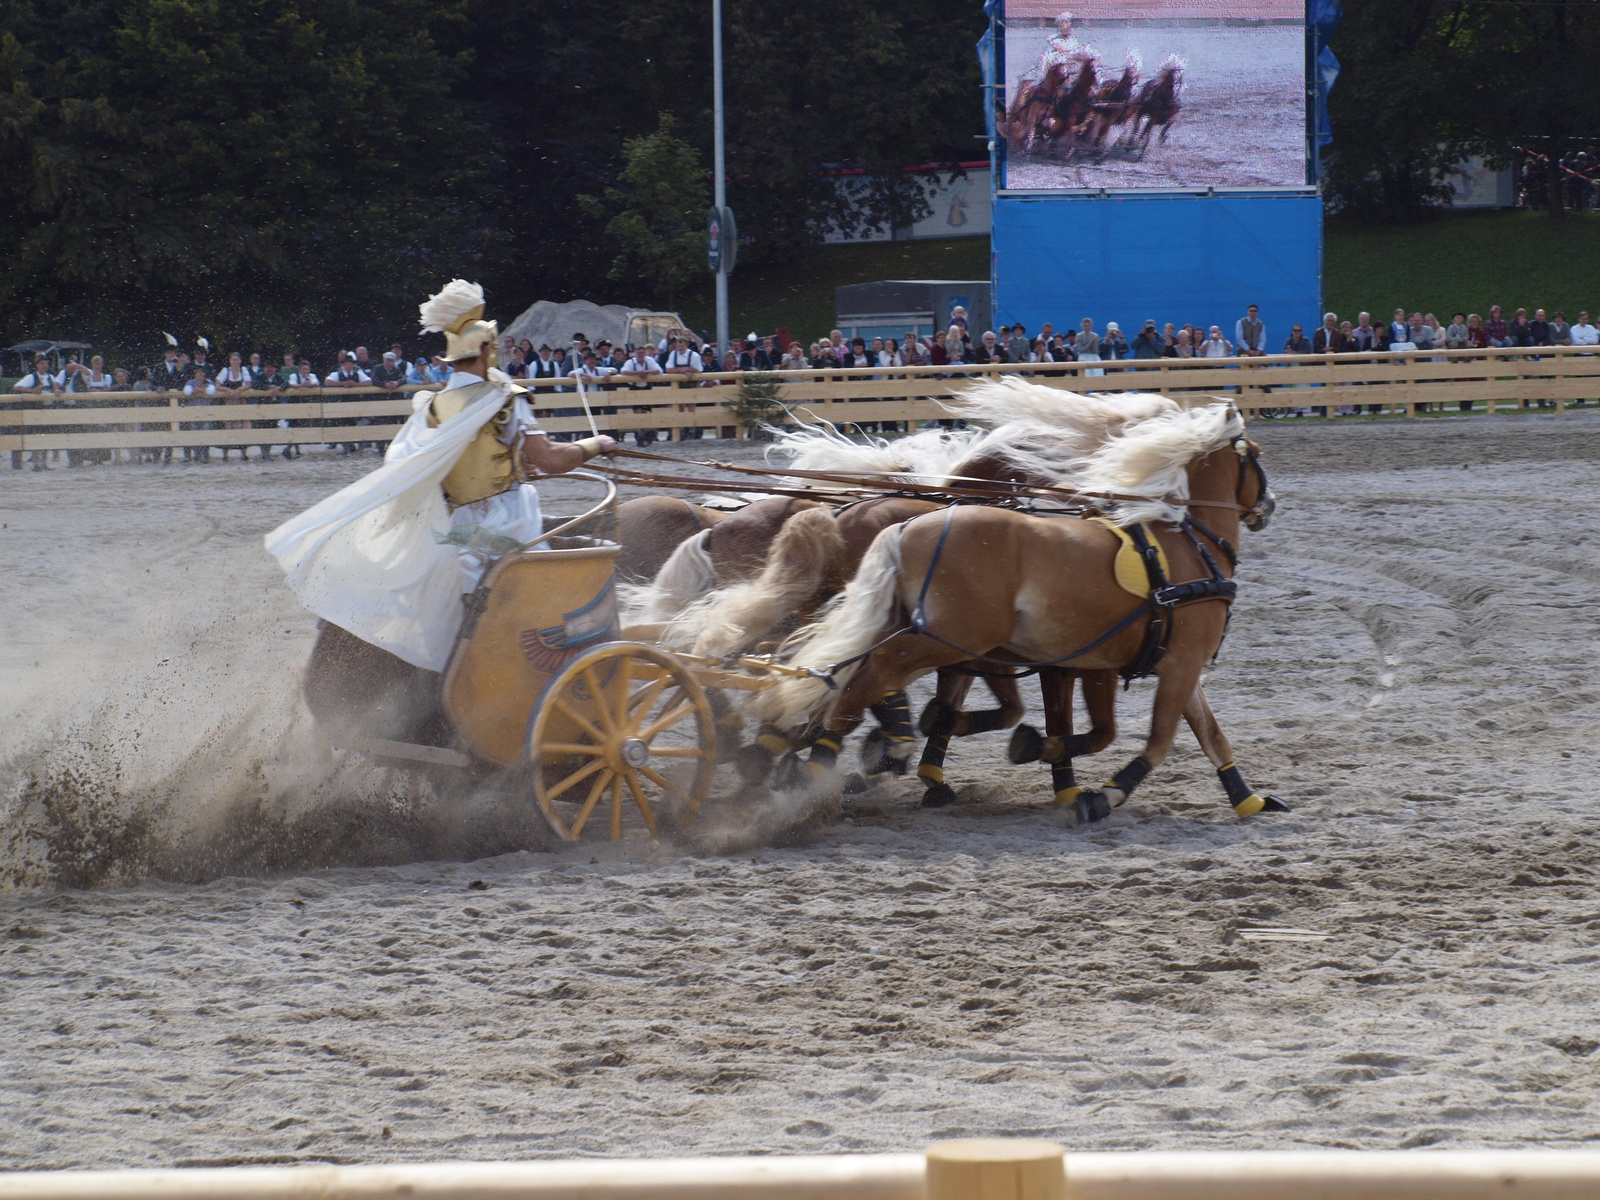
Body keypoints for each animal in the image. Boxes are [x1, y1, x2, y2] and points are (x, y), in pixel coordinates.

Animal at [748, 404, 1286, 825]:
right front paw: (1102, 795)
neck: (1184, 548)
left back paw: (806, 753)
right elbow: (1156, 740)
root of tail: (904, 527)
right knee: (866, 675)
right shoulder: (1173, 664)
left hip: (920, 631)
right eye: (1257, 455)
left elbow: (1208, 736)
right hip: (943, 637)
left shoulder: (1143, 664)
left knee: (833, 670)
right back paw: (832, 758)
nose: (1269, 505)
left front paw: (1249, 800)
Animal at [998, 0, 1312, 190]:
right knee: (1036, 127)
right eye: (1092, 67)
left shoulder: (1135, 114)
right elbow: (1059, 127)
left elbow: (1154, 130)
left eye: (1179, 74)